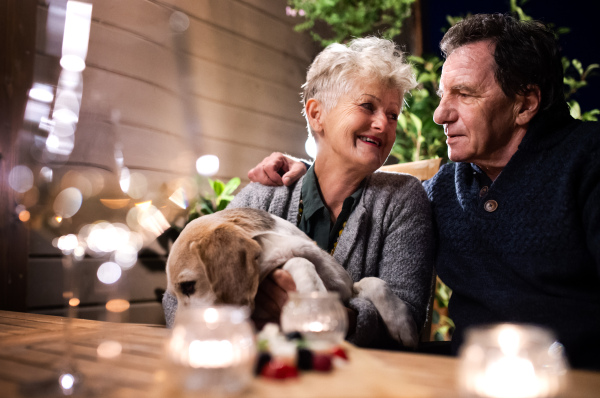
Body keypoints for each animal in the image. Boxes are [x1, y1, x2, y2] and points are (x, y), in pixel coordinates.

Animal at [164, 207, 418, 346]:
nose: (178, 334)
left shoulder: (346, 288)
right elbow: (300, 262)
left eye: (188, 286)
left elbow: (375, 282)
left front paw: (403, 325)